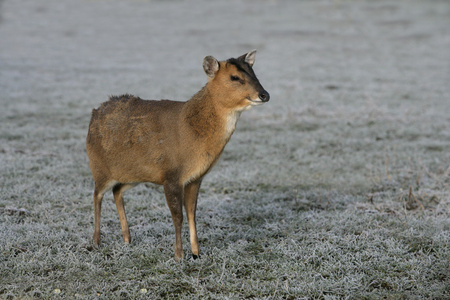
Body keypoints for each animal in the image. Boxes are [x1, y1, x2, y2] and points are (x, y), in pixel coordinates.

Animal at [87, 50, 270, 258]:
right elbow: (178, 216)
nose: (264, 94)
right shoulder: (171, 175)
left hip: (132, 174)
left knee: (117, 191)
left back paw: (127, 239)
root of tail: (94, 113)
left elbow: (192, 214)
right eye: (234, 77)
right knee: (96, 194)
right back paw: (96, 242)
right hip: (99, 166)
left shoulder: (195, 178)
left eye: (253, 72)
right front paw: (178, 255)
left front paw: (196, 253)